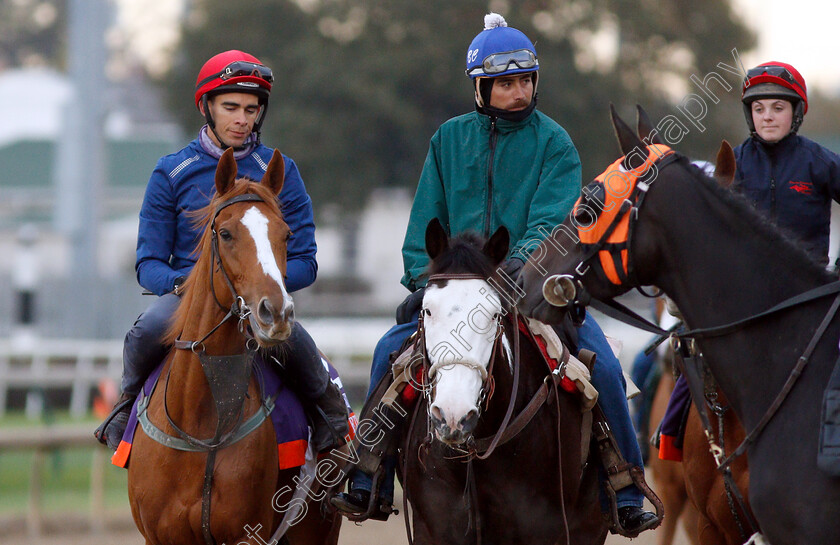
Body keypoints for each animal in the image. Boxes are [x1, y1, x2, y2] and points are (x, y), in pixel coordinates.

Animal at [125, 148, 342, 544]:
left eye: (286, 234)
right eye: (225, 233)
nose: (276, 312)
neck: (202, 427)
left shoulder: (247, 532)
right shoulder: (159, 535)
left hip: (317, 528)